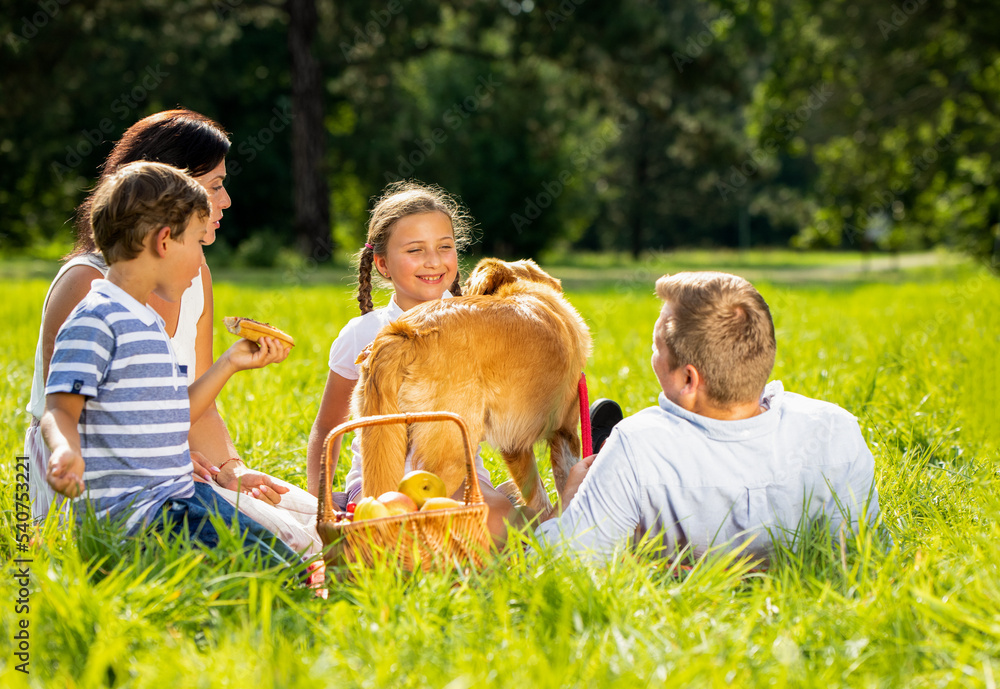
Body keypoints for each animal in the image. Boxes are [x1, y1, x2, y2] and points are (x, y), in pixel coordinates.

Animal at [352, 258, 588, 516]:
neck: (519, 290)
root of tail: (407, 333)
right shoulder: (565, 431)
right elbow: (560, 489)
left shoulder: (515, 444)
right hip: (450, 457)